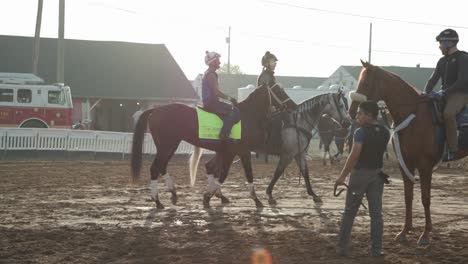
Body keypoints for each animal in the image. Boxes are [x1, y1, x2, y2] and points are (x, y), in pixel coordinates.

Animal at [130, 83, 294, 209]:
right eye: (279, 90)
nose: (291, 105)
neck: (246, 116)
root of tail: (156, 109)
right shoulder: (240, 151)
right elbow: (233, 174)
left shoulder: (228, 152)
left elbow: (217, 172)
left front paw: (214, 195)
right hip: (167, 145)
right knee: (155, 168)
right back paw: (157, 201)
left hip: (169, 145)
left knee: (162, 166)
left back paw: (173, 193)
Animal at [191, 92, 352, 205]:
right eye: (341, 105)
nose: (348, 122)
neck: (298, 122)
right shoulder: (288, 155)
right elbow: (278, 173)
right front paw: (269, 194)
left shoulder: (299, 154)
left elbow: (305, 173)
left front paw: (314, 195)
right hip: (229, 153)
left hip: (224, 152)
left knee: (210, 167)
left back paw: (217, 195)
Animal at [350, 60, 466, 245]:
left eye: (365, 83)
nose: (352, 111)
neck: (414, 116)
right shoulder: (405, 164)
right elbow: (408, 197)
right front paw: (405, 231)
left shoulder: (425, 166)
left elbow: (425, 198)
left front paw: (425, 234)